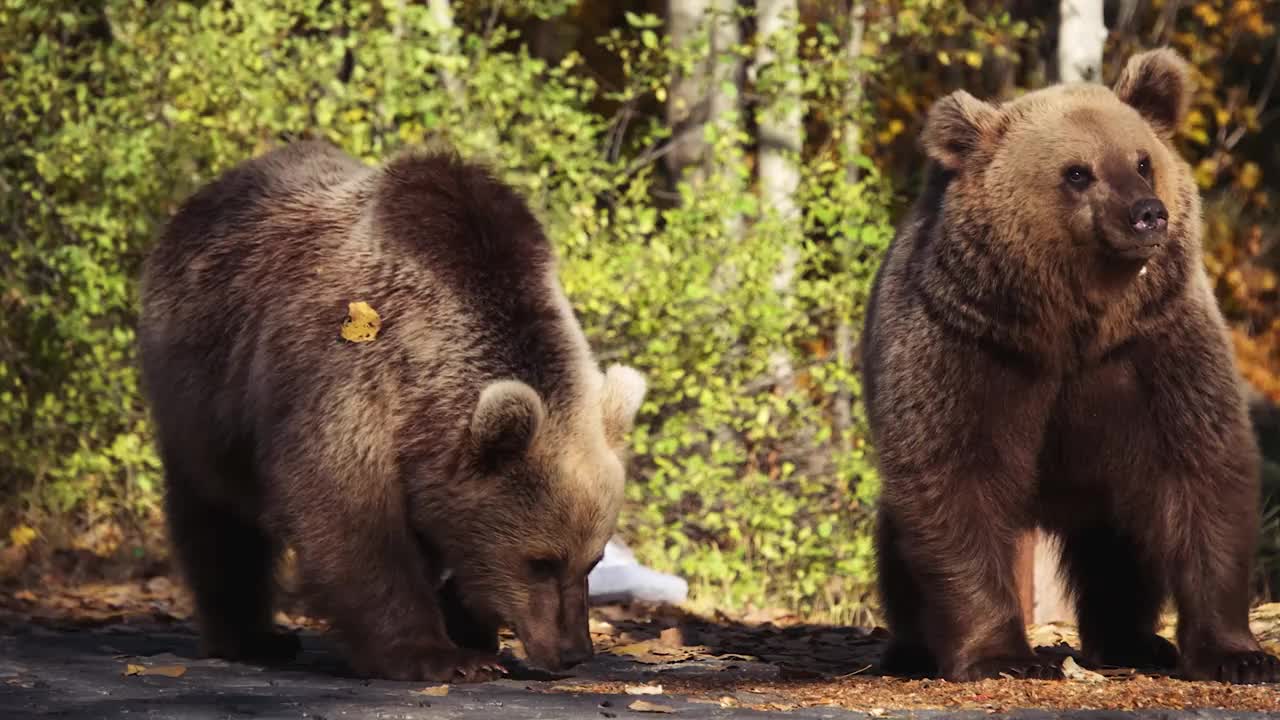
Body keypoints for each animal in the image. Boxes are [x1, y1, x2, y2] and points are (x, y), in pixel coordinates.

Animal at [137, 139, 650, 676]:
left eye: (592, 560)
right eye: (541, 561)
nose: (573, 653)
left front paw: (472, 628)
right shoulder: (347, 378)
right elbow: (349, 518)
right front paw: (440, 655)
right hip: (202, 385)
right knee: (217, 519)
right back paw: (251, 638)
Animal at [860, 47, 1280, 681]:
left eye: (1142, 161)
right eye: (1078, 172)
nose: (1147, 215)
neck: (1070, 325)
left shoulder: (1153, 349)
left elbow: (1203, 470)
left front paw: (1238, 654)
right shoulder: (968, 345)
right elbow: (955, 477)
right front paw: (1000, 655)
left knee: (1119, 548)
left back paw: (1136, 641)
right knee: (899, 548)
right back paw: (909, 649)